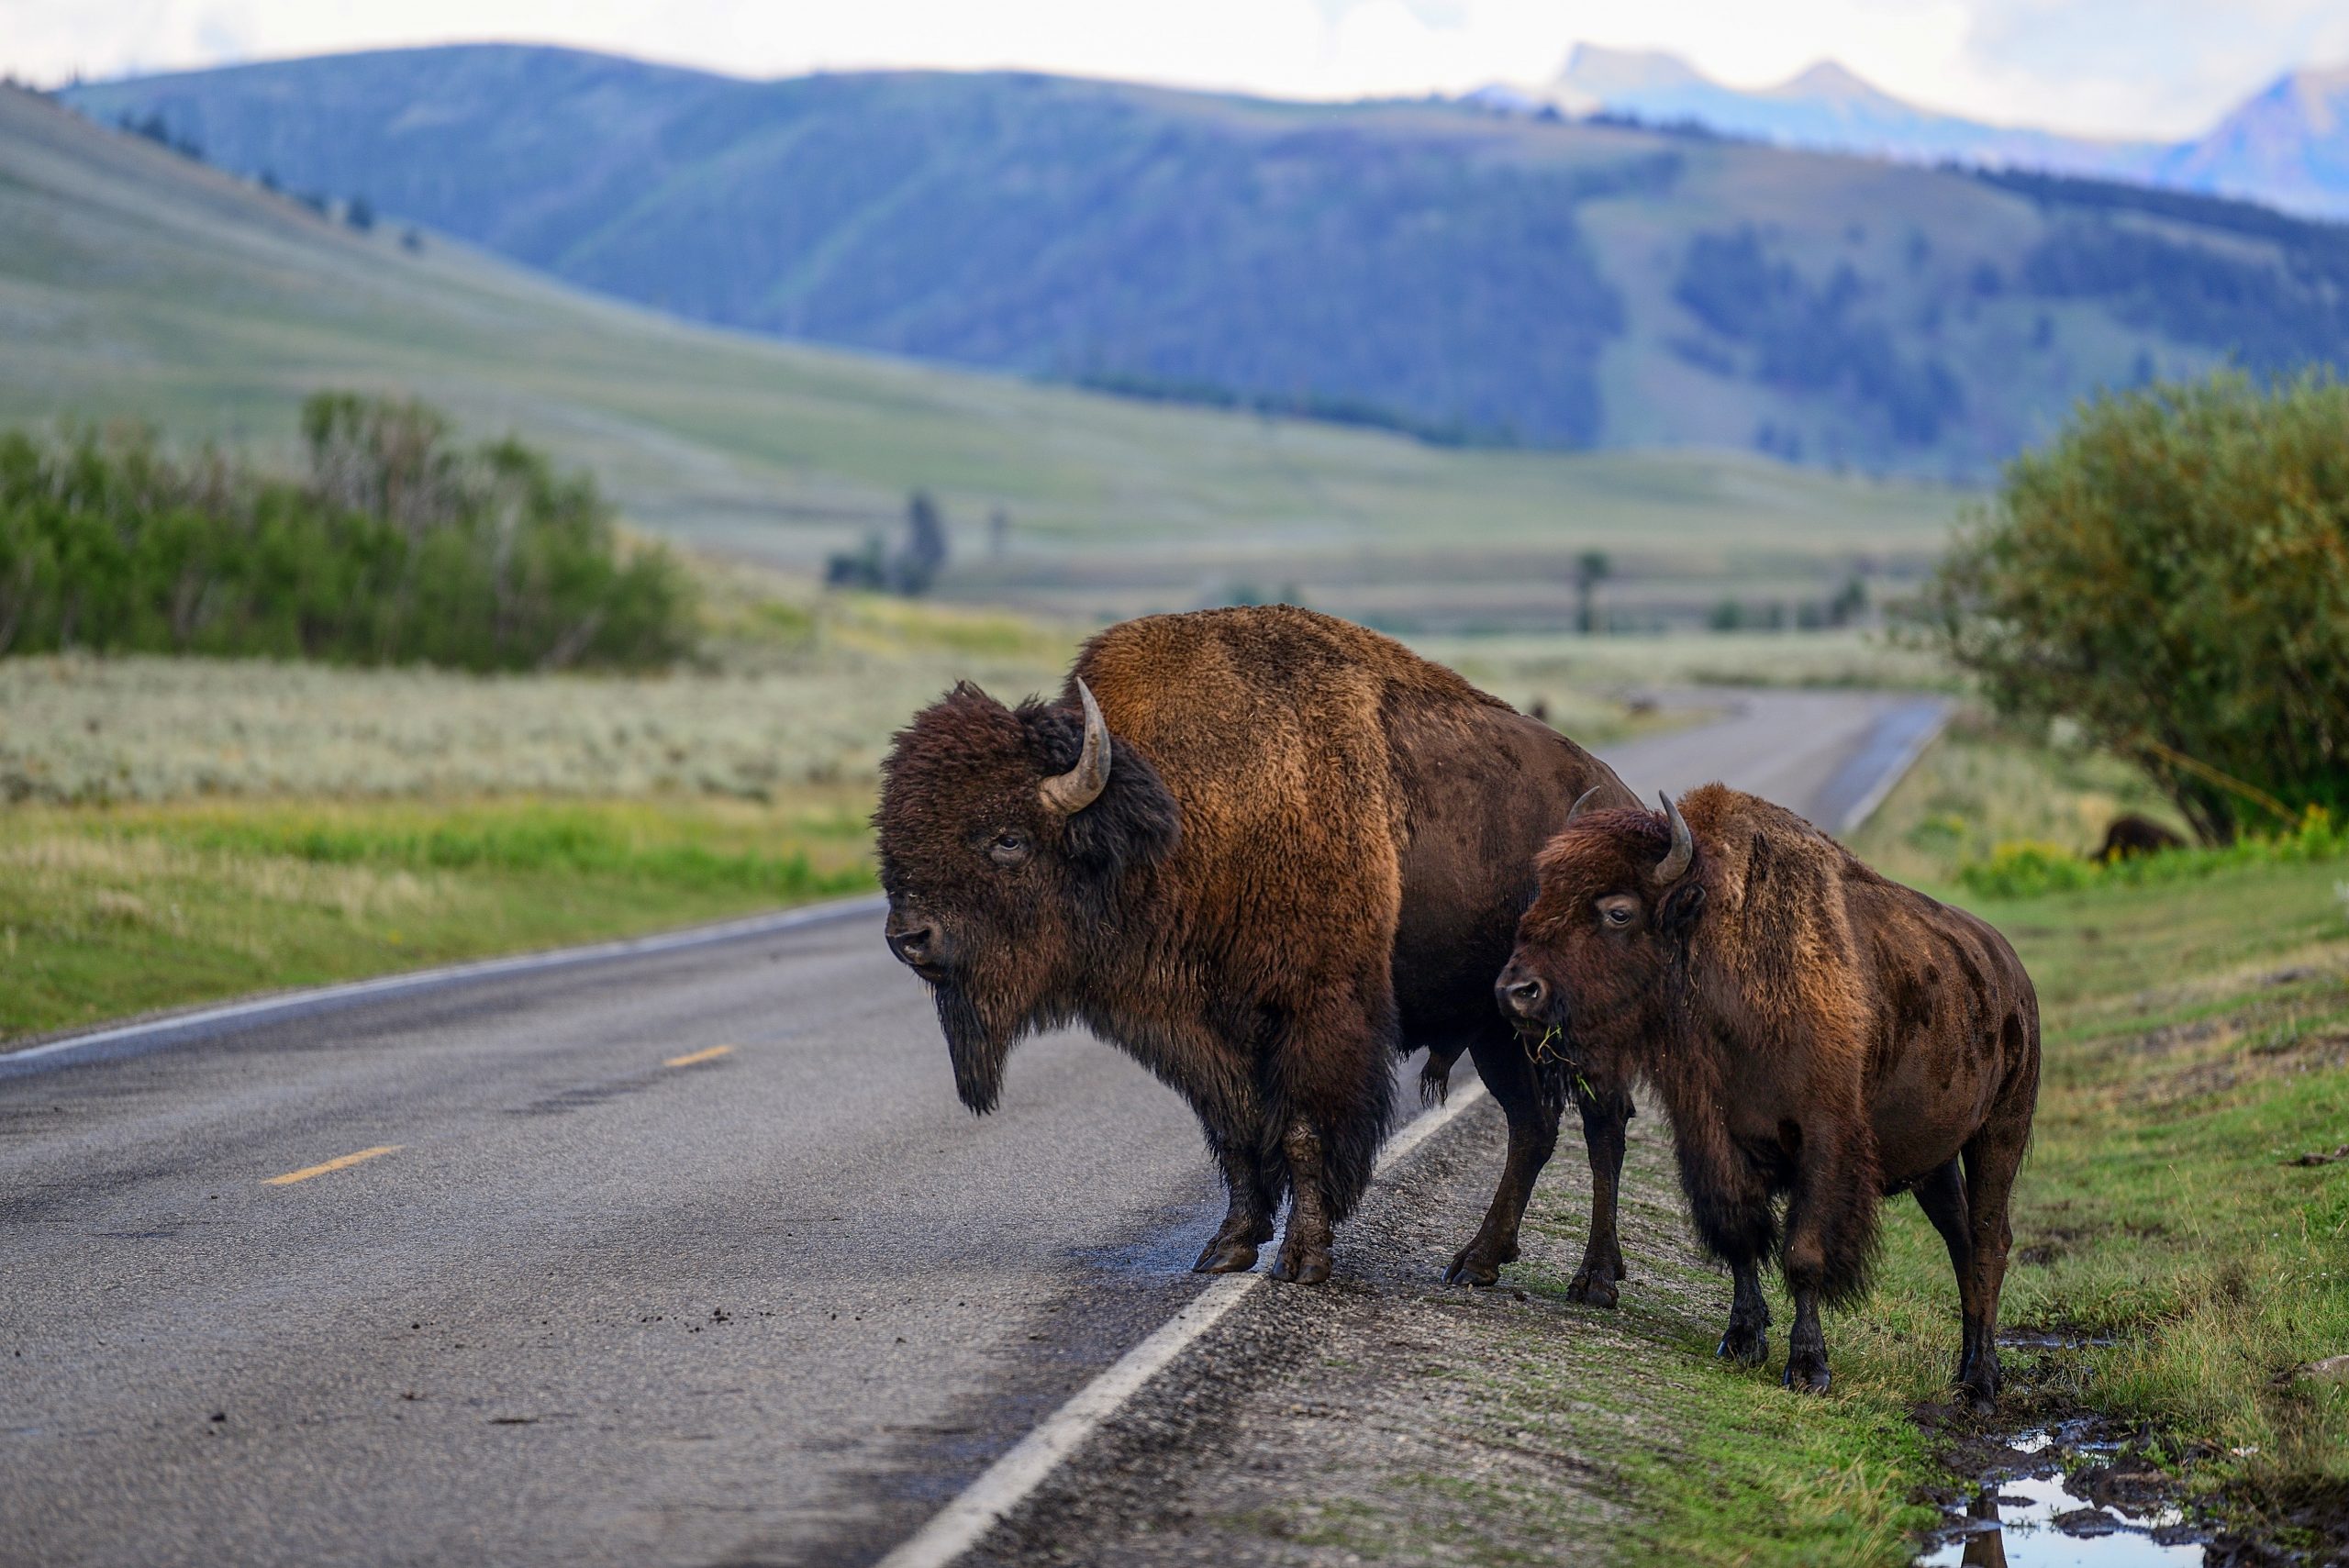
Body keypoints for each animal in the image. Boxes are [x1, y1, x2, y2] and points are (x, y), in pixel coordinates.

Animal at [876, 606, 1639, 1288]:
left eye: (1008, 838)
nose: (909, 937)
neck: (1182, 810)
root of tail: (1624, 795)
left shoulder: (1315, 1015)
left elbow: (1302, 1131)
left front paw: (1302, 1260)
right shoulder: (1200, 1030)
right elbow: (1238, 1133)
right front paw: (1228, 1246)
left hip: (1583, 1024)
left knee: (1602, 1125)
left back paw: (1593, 1280)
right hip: (1496, 1028)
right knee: (1533, 1124)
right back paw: (1478, 1261)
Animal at [1497, 785, 2039, 1408]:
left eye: (1618, 911)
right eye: (1543, 893)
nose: (1516, 991)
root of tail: (2012, 975)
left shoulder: (1824, 1142)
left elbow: (1803, 1254)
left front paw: (1807, 1368)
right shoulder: (1713, 1137)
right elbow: (1742, 1236)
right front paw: (1741, 1340)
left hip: (2000, 1131)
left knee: (1989, 1238)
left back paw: (1982, 1384)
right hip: (1936, 1162)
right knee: (1961, 1241)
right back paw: (1966, 1373)